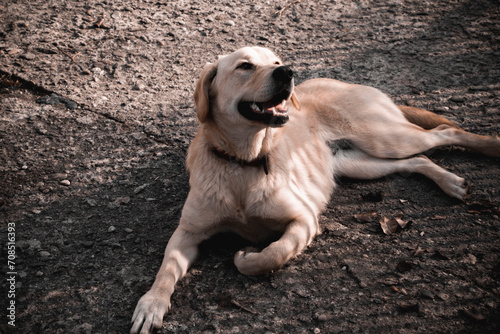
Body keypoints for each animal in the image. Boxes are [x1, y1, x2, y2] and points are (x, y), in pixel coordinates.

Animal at [130, 45, 500, 332]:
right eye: (245, 65)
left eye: (276, 61)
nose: (287, 72)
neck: (244, 163)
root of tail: (345, 81)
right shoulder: (187, 232)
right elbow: (166, 269)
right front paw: (151, 305)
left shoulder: (304, 219)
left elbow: (272, 255)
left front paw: (246, 256)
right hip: (363, 163)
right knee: (418, 160)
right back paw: (452, 182)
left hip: (385, 138)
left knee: (444, 132)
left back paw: (489, 147)